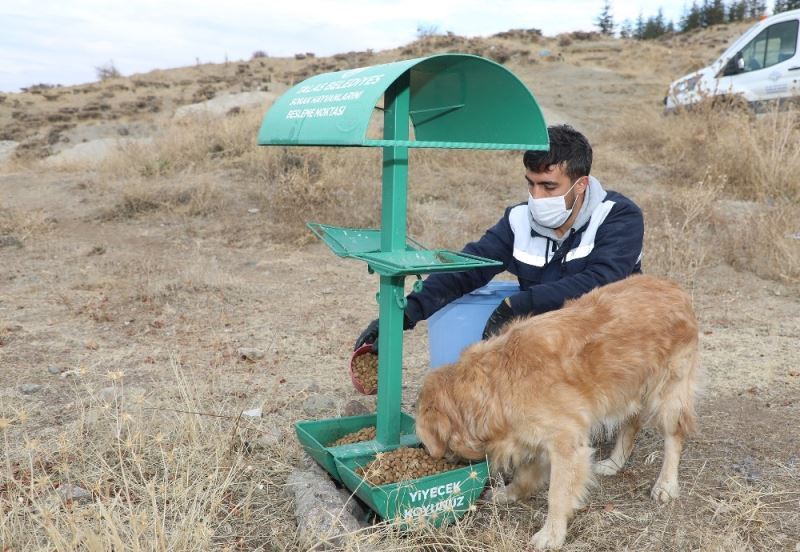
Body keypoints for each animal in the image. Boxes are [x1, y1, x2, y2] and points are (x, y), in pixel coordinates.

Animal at [416, 274, 696, 548]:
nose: (437, 459)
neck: (496, 384)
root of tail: (673, 287)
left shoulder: (566, 443)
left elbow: (558, 494)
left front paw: (551, 534)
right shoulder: (532, 435)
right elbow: (526, 473)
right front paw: (511, 492)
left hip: (668, 394)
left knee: (674, 438)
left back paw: (666, 484)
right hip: (626, 389)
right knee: (631, 423)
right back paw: (615, 463)